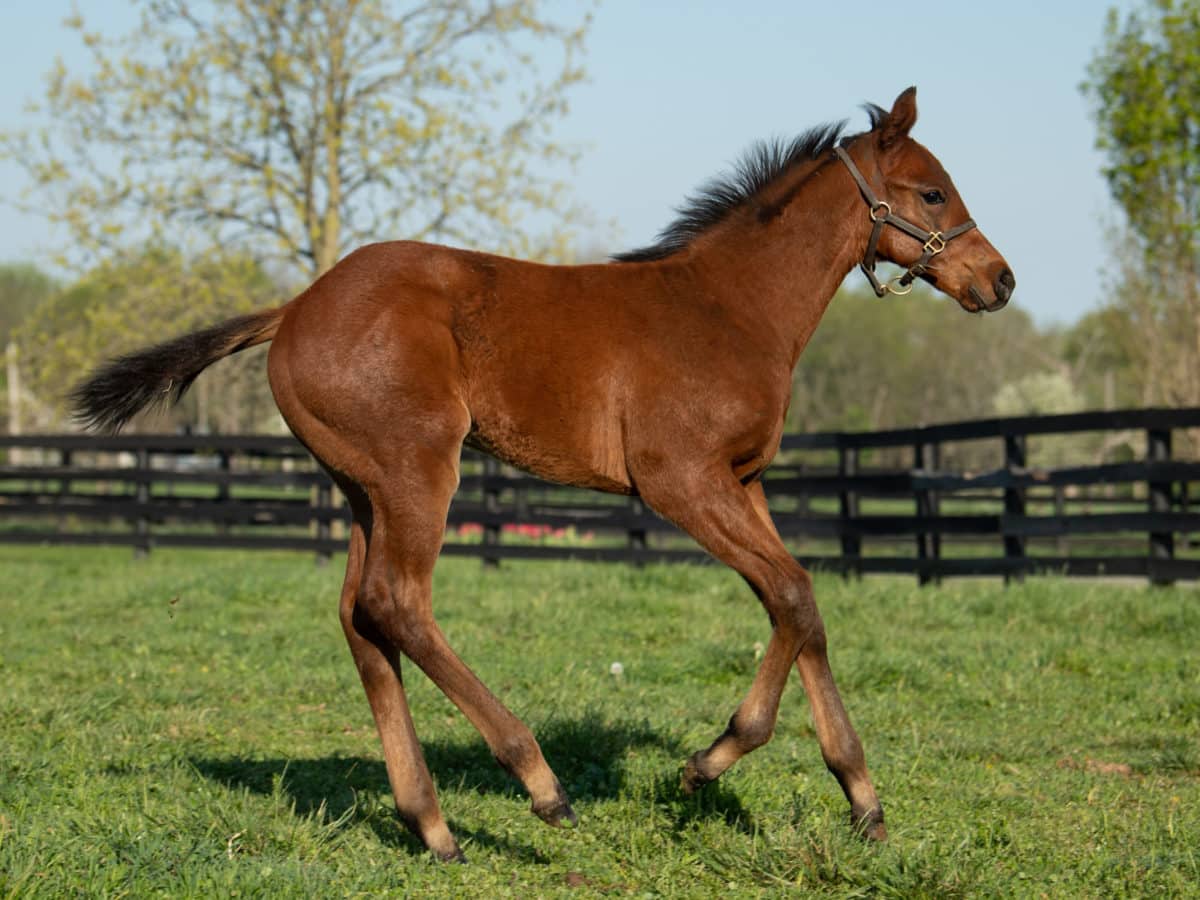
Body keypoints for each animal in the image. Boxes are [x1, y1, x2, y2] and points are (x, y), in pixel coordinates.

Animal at [72, 88, 1012, 864]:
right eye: (933, 193)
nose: (999, 280)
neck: (731, 308)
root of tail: (296, 307)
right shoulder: (679, 481)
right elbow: (790, 593)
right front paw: (708, 762)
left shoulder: (745, 482)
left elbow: (801, 604)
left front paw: (863, 801)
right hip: (418, 468)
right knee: (396, 604)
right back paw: (540, 785)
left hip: (362, 487)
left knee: (358, 619)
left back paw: (433, 826)